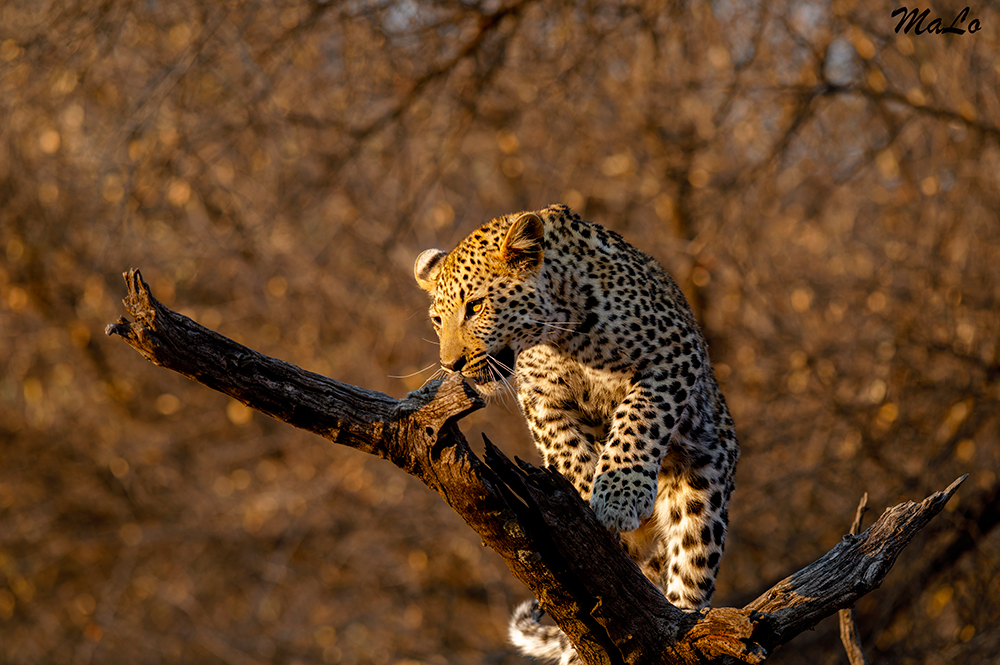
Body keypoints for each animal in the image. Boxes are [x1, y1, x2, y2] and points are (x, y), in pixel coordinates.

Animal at [413, 204, 739, 664]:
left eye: (475, 306)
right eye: (437, 320)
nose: (450, 365)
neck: (563, 336)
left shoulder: (673, 356)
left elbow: (638, 419)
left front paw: (619, 499)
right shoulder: (543, 400)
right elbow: (566, 451)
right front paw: (589, 507)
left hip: (701, 499)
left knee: (687, 579)